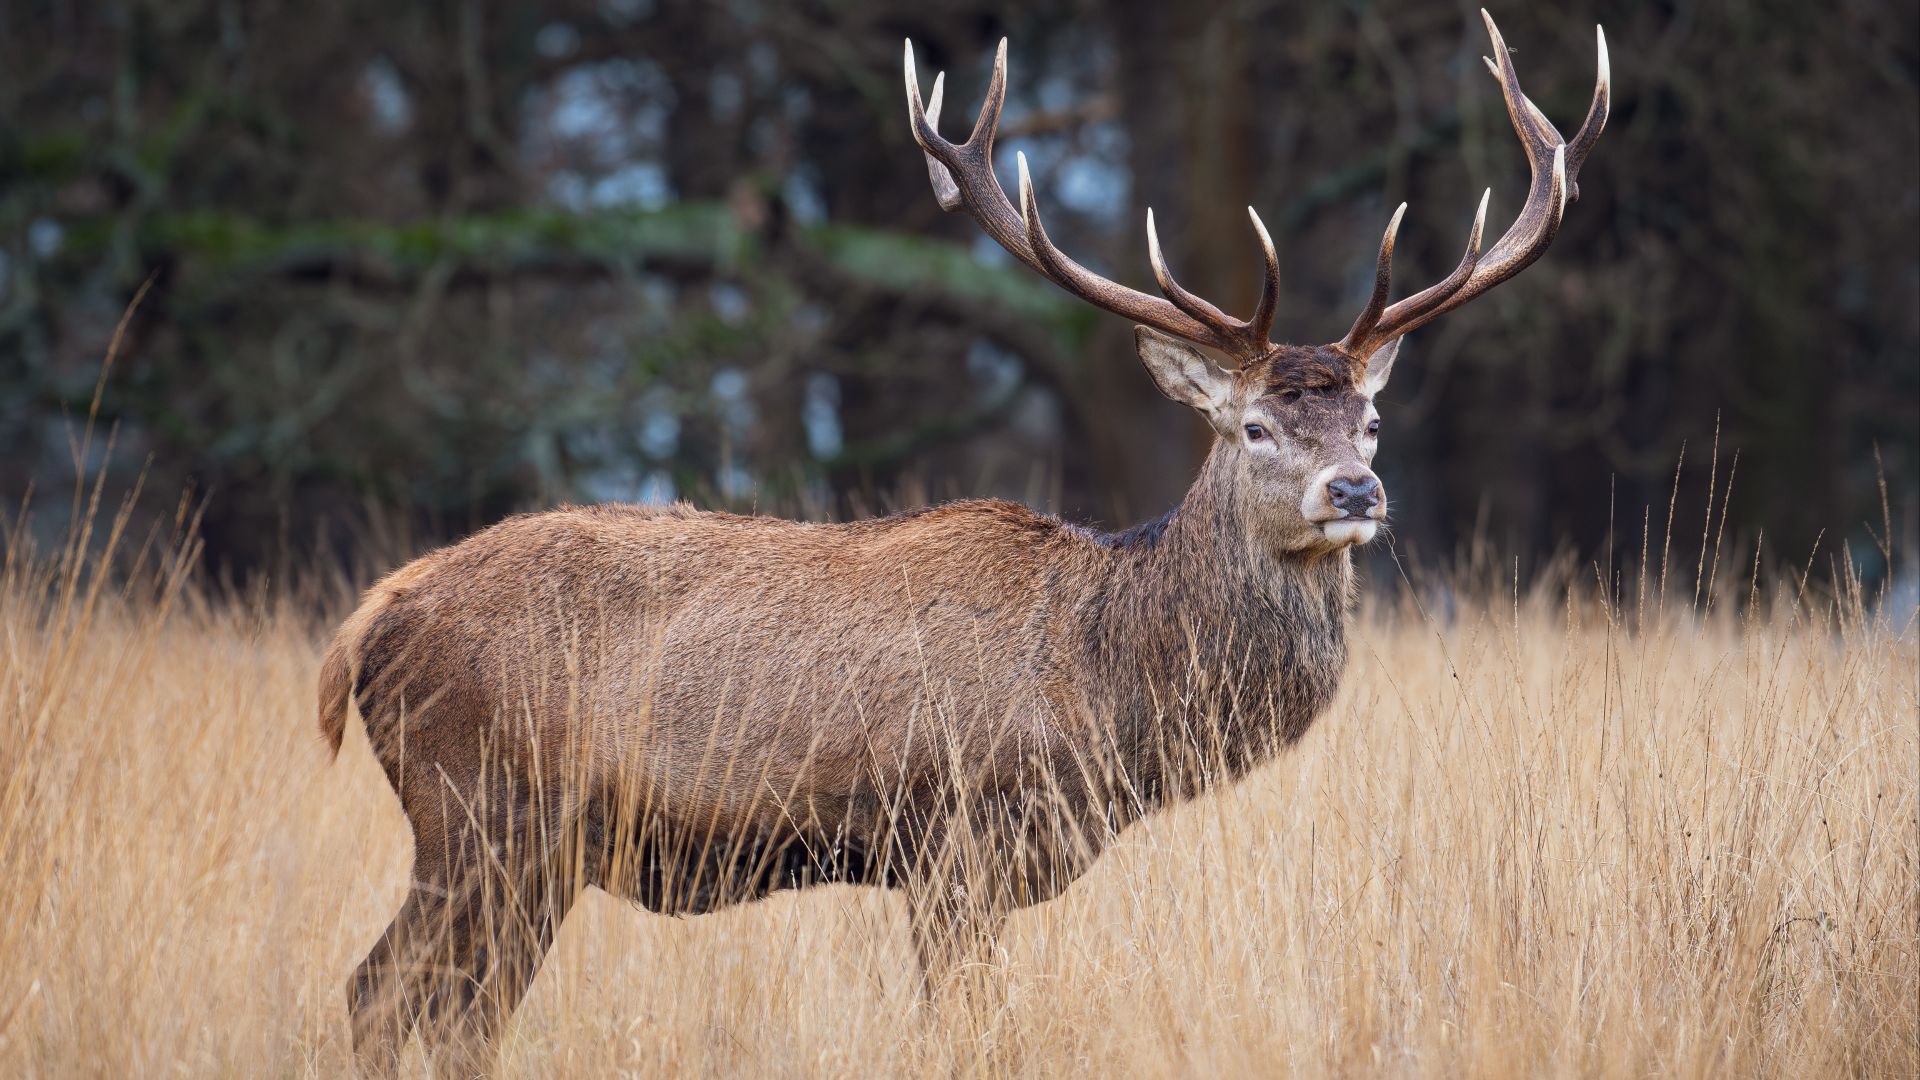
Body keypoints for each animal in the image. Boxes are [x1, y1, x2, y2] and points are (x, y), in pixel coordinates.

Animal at [317, 11, 1607, 1074]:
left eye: (1371, 419)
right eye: (1252, 425)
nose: (1358, 490)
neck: (1106, 685)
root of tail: (367, 625)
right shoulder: (957, 842)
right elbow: (968, 1038)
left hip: (526, 850)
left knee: (451, 1017)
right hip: (479, 811)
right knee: (376, 998)